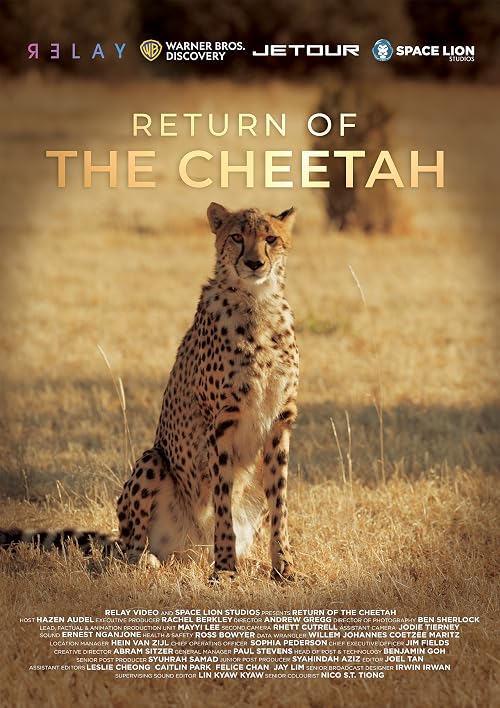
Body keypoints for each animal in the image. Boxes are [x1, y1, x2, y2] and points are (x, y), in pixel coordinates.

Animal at [1, 203, 299, 582]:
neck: (258, 303)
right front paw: (225, 569)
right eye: (236, 237)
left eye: (270, 239)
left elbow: (280, 504)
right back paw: (151, 560)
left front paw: (283, 567)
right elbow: (223, 501)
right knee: (126, 548)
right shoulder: (221, 425)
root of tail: (193, 551)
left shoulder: (280, 422)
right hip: (152, 461)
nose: (254, 263)